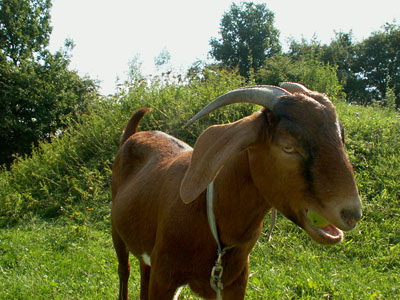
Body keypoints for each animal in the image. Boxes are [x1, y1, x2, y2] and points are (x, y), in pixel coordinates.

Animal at [110, 82, 362, 300]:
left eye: (340, 139)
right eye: (288, 147)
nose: (351, 214)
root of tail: (133, 135)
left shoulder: (234, 282)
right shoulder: (164, 277)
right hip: (116, 228)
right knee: (124, 270)